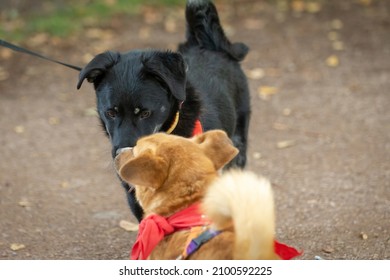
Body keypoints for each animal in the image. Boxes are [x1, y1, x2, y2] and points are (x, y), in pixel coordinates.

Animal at [77, 0, 251, 223]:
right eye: (111, 112)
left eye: (144, 113)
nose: (122, 156)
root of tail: (207, 44)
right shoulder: (136, 196)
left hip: (238, 144)